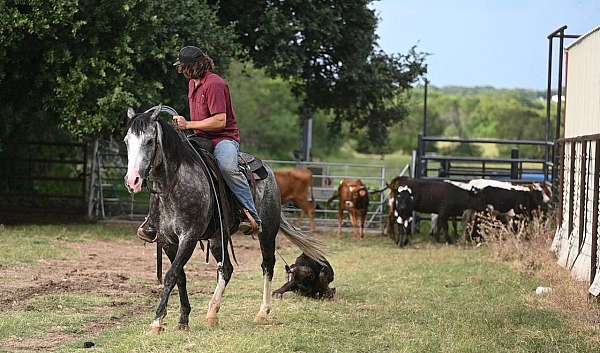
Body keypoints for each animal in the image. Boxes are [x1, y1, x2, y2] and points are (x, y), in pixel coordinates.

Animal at [123, 106, 326, 332]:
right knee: (226, 269)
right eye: (126, 141)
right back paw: (212, 313)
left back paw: (262, 312)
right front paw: (183, 319)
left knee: (268, 265)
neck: (175, 183)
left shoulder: (189, 237)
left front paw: (157, 322)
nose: (132, 180)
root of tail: (270, 172)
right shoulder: (167, 240)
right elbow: (180, 276)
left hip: (267, 232)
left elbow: (171, 275)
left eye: (150, 141)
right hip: (217, 238)